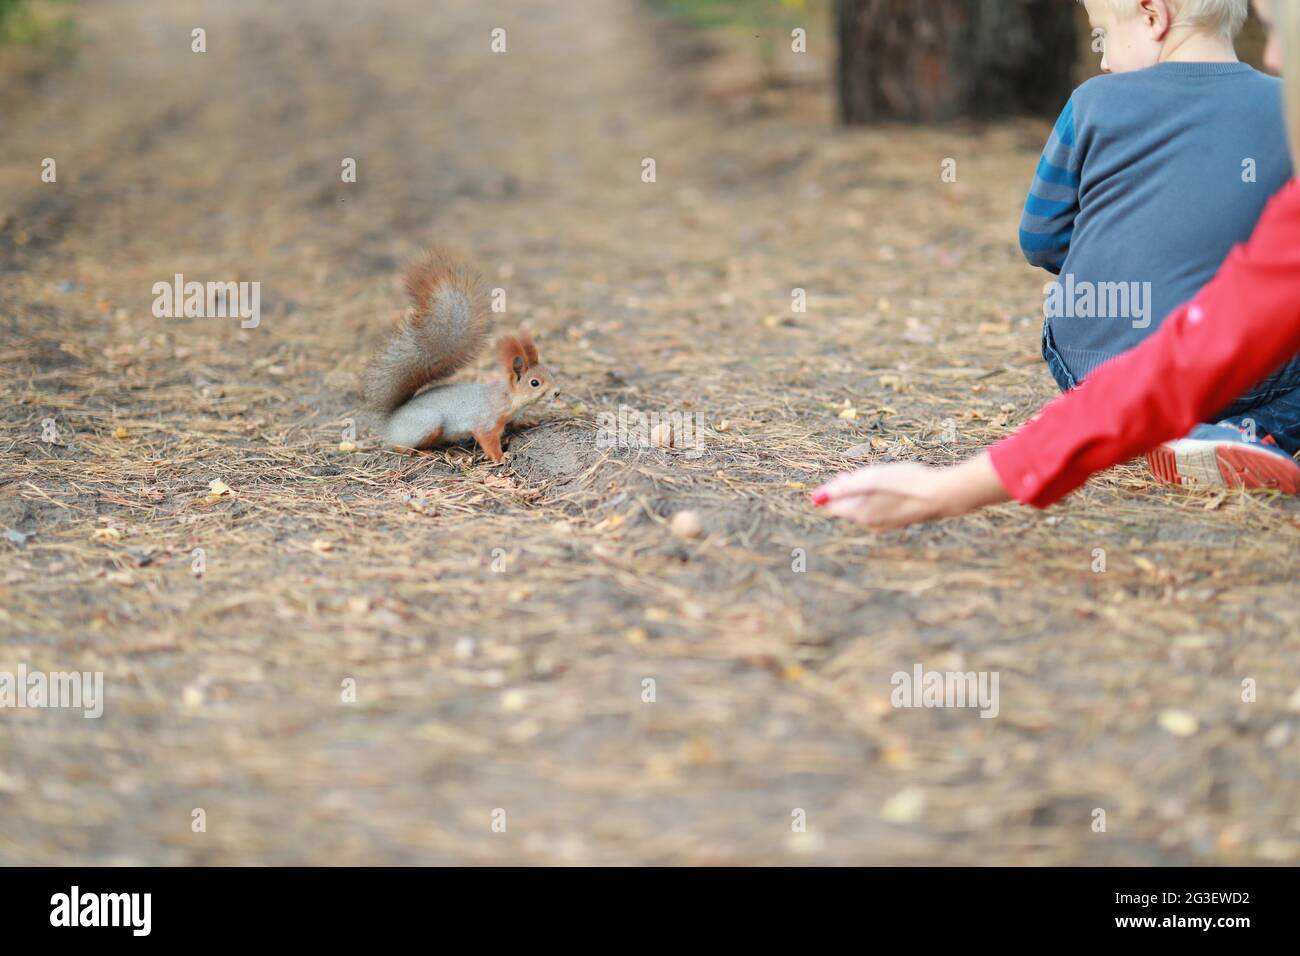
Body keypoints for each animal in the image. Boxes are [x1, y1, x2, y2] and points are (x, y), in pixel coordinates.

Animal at [362, 248, 558, 462]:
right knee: (401, 447)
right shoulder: (486, 420)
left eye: (549, 372)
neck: (508, 397)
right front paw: (500, 457)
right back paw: (422, 452)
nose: (557, 392)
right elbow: (488, 440)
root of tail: (390, 424)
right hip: (429, 423)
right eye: (534, 383)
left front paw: (526, 422)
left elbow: (514, 423)